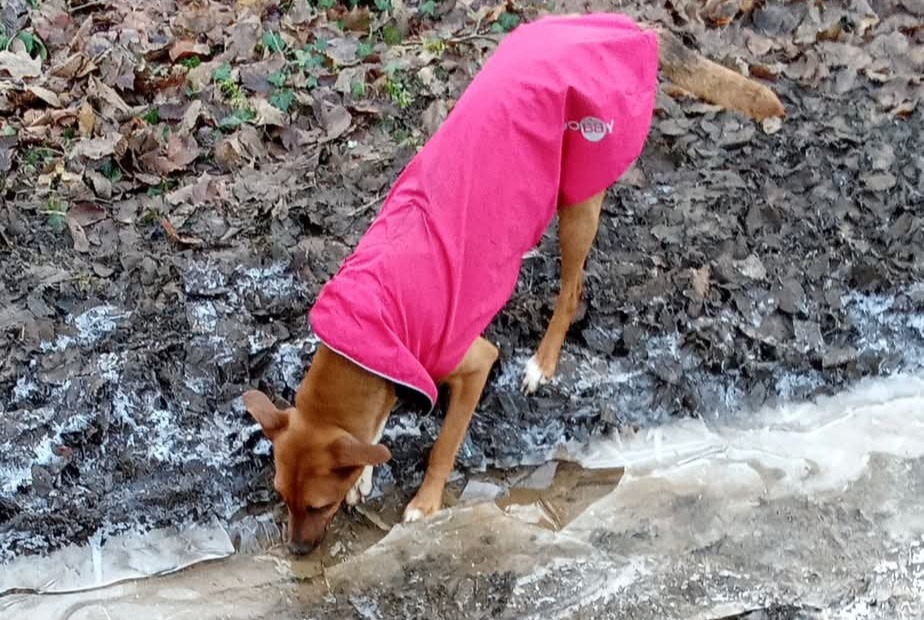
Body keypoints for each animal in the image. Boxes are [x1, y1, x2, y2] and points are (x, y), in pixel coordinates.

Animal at [242, 12, 784, 556]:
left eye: (318, 506)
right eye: (281, 497)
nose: (296, 552)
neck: (369, 324)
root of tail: (623, 28)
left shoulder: (472, 363)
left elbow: (444, 444)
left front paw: (425, 502)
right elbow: (372, 435)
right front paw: (366, 474)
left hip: (579, 195)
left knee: (571, 291)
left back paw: (543, 363)